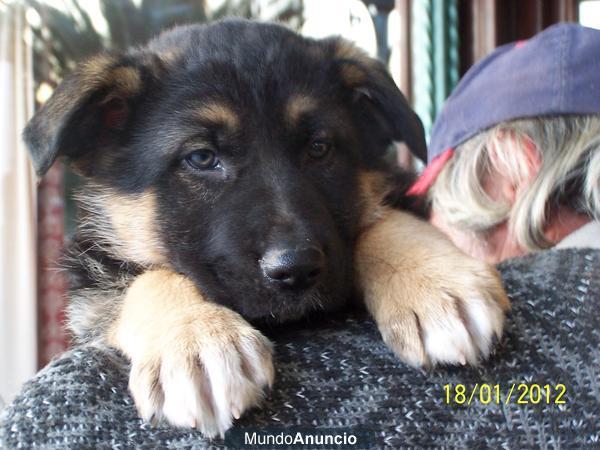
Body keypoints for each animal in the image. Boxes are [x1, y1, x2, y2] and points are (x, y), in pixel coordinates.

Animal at [25, 20, 508, 436]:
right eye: (201, 158)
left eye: (320, 148)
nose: (296, 269)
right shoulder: (91, 281)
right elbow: (147, 279)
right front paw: (196, 338)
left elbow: (382, 220)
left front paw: (434, 284)